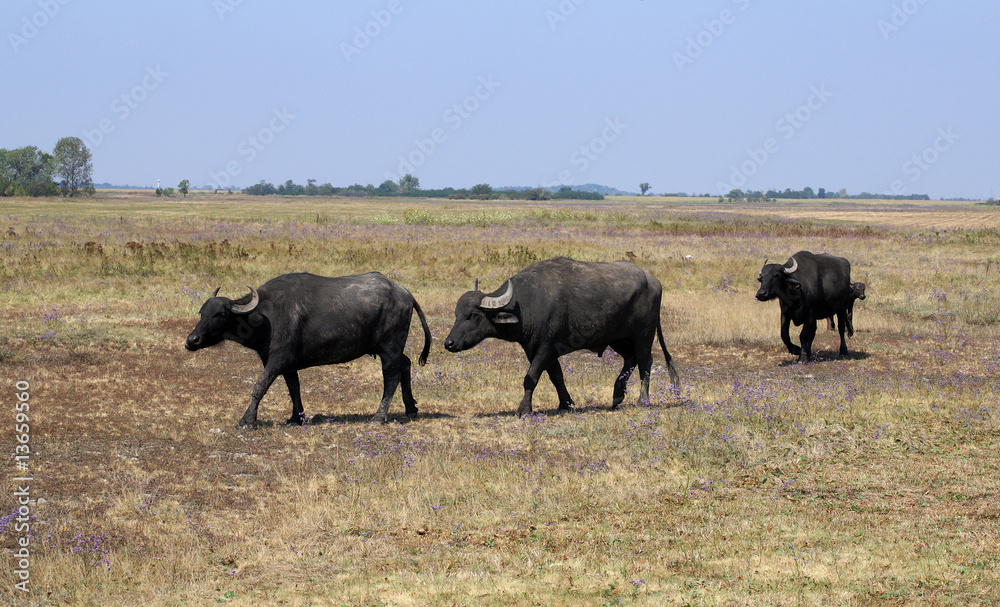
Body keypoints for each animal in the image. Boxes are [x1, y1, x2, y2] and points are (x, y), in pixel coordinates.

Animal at [186, 274, 432, 426]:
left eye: (220, 314)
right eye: (202, 313)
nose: (191, 340)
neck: (267, 316)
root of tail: (405, 293)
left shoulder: (277, 359)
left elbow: (259, 386)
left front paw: (247, 420)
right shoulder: (286, 365)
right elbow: (294, 389)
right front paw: (296, 417)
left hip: (390, 347)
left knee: (391, 377)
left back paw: (378, 417)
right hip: (387, 349)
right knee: (406, 364)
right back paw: (411, 407)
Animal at [444, 256, 680, 418]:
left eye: (473, 316)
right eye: (456, 314)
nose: (449, 343)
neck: (527, 305)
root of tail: (654, 281)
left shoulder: (546, 348)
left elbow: (531, 377)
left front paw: (524, 409)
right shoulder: (535, 349)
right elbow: (556, 376)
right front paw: (566, 403)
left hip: (643, 335)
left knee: (645, 362)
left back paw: (643, 399)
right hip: (617, 338)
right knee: (630, 360)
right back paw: (617, 395)